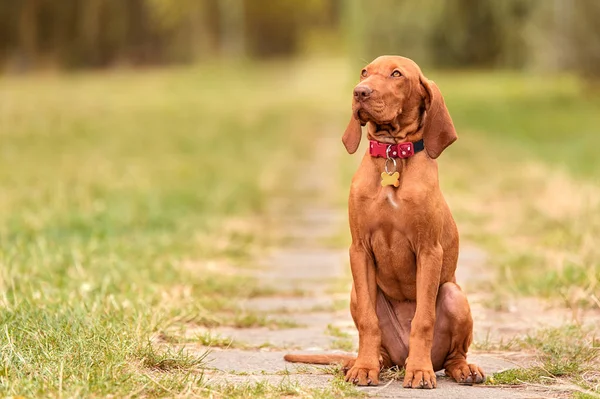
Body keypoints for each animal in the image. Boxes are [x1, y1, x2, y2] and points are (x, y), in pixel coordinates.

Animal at [284, 54, 486, 390]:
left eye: (396, 74)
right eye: (364, 72)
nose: (360, 92)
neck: (393, 153)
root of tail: (398, 360)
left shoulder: (429, 251)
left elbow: (423, 320)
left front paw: (420, 372)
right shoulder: (359, 249)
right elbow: (369, 321)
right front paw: (364, 369)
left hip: (453, 294)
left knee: (452, 356)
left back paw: (458, 368)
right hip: (358, 294)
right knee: (377, 341)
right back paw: (365, 362)